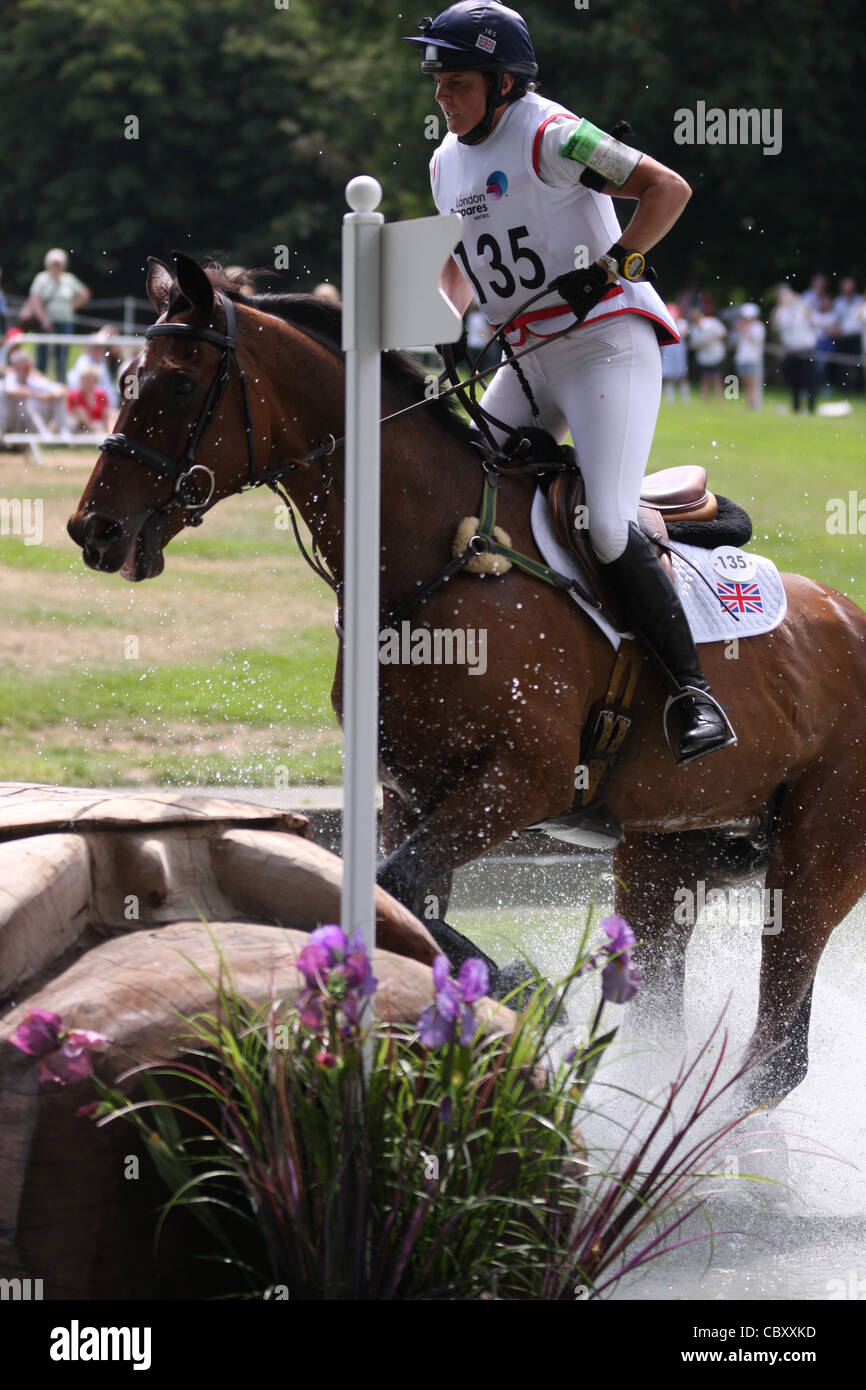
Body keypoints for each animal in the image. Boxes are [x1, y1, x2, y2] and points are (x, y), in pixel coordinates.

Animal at [66, 255, 866, 1106]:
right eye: (123, 378)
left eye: (180, 384)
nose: (94, 530)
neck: (431, 556)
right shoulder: (413, 792)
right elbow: (395, 897)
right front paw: (502, 993)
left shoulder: (522, 783)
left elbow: (397, 886)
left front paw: (521, 986)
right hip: (664, 855)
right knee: (674, 1018)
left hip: (814, 859)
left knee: (776, 1049)